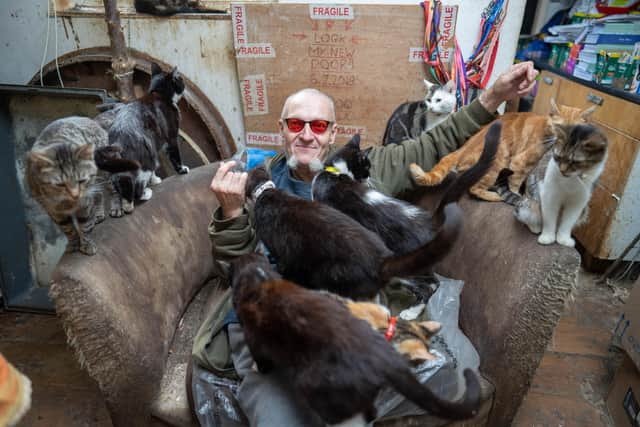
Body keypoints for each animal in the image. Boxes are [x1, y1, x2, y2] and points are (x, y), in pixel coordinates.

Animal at [95, 62, 189, 217]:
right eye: (180, 79)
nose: (184, 84)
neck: (158, 93)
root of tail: (119, 139)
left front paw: (155, 180)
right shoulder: (171, 136)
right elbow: (175, 155)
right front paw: (182, 170)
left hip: (121, 164)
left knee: (123, 183)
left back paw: (127, 205)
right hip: (146, 157)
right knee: (137, 185)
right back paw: (145, 194)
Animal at [408, 99, 596, 201]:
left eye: (576, 130)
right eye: (559, 127)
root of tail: (462, 148)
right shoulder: (520, 163)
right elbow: (515, 184)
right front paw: (516, 196)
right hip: (496, 164)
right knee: (473, 189)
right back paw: (494, 196)